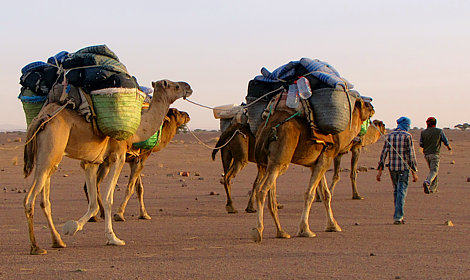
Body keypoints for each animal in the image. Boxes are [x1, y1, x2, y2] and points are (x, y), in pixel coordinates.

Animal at [23, 79, 192, 254]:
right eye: (176, 86)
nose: (188, 87)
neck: (137, 132)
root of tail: (40, 118)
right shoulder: (119, 156)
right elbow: (109, 198)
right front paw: (114, 238)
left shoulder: (92, 162)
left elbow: (93, 203)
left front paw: (73, 227)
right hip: (51, 150)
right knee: (29, 200)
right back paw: (36, 247)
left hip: (49, 158)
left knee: (45, 201)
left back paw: (58, 241)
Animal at [250, 94, 374, 243]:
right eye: (364, 104)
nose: (372, 107)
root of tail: (268, 127)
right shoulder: (326, 157)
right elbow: (310, 194)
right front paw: (305, 230)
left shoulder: (317, 162)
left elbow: (326, 194)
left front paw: (333, 226)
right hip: (280, 160)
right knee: (261, 189)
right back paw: (258, 231)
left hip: (267, 162)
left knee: (268, 193)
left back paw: (281, 232)